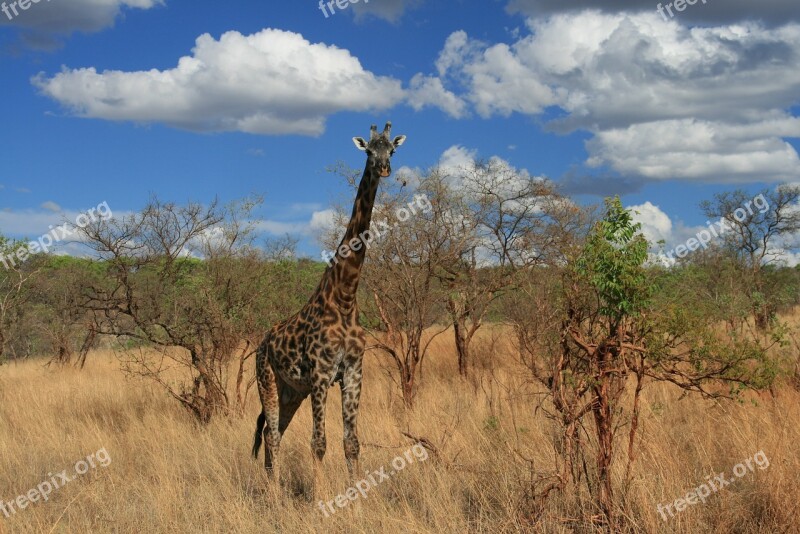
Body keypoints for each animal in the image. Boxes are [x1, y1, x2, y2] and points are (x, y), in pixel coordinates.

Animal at [253, 121, 410, 486]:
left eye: (392, 150)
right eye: (369, 151)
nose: (384, 168)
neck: (345, 297)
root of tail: (261, 343)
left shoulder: (353, 371)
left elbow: (351, 442)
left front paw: (359, 495)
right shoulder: (321, 374)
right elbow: (319, 443)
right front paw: (321, 496)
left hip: (292, 390)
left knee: (272, 431)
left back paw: (271, 487)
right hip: (268, 380)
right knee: (271, 434)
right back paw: (274, 494)